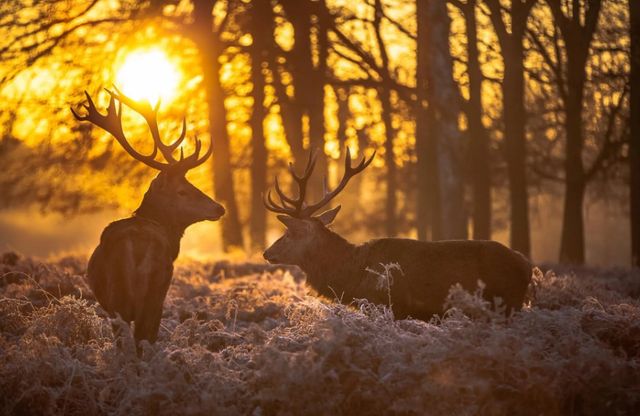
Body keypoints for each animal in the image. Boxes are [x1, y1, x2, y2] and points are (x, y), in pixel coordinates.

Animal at [263, 148, 532, 320]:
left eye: (290, 233)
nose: (267, 253)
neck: (353, 276)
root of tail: (527, 265)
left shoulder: (387, 306)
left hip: (507, 302)